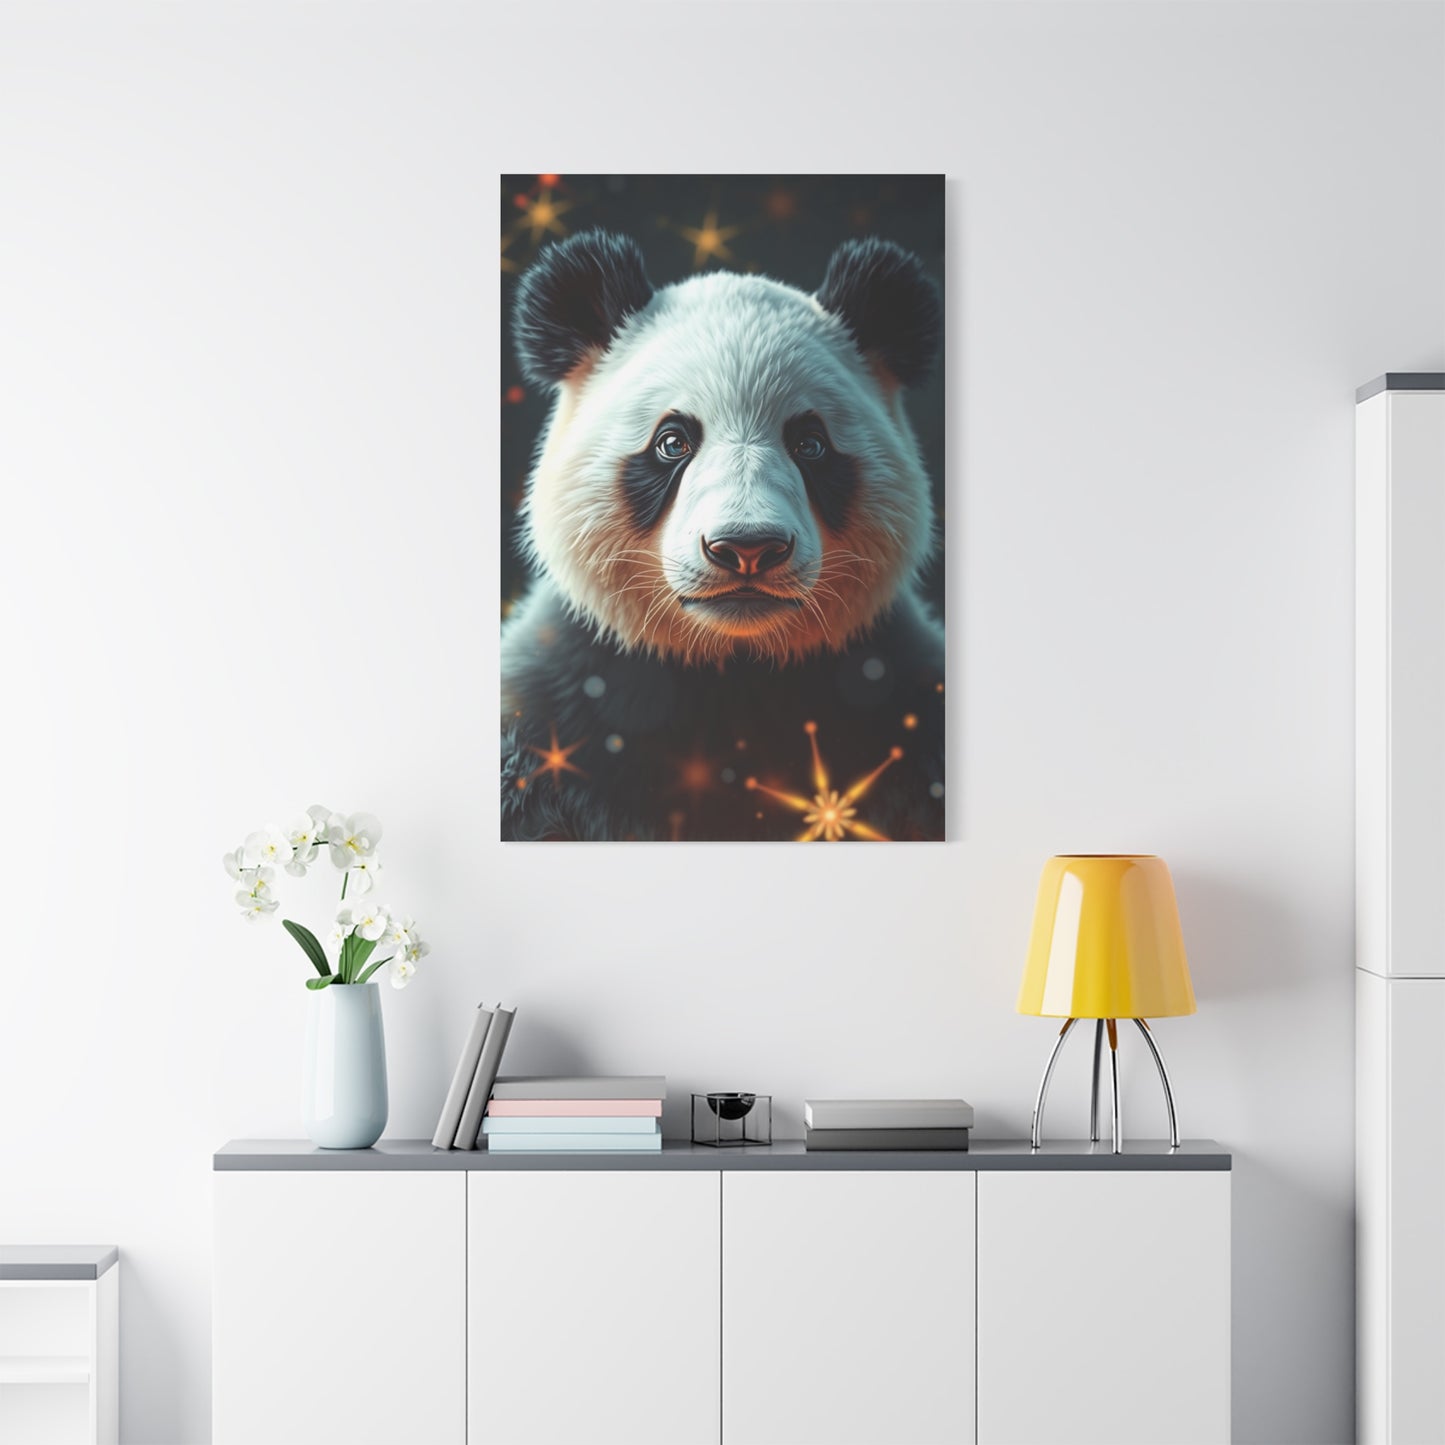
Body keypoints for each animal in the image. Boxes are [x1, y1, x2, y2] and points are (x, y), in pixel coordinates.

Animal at [501, 229, 944, 842]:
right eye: (672, 442)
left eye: (810, 444)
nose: (748, 548)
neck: (732, 670)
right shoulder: (553, 712)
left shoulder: (904, 709)